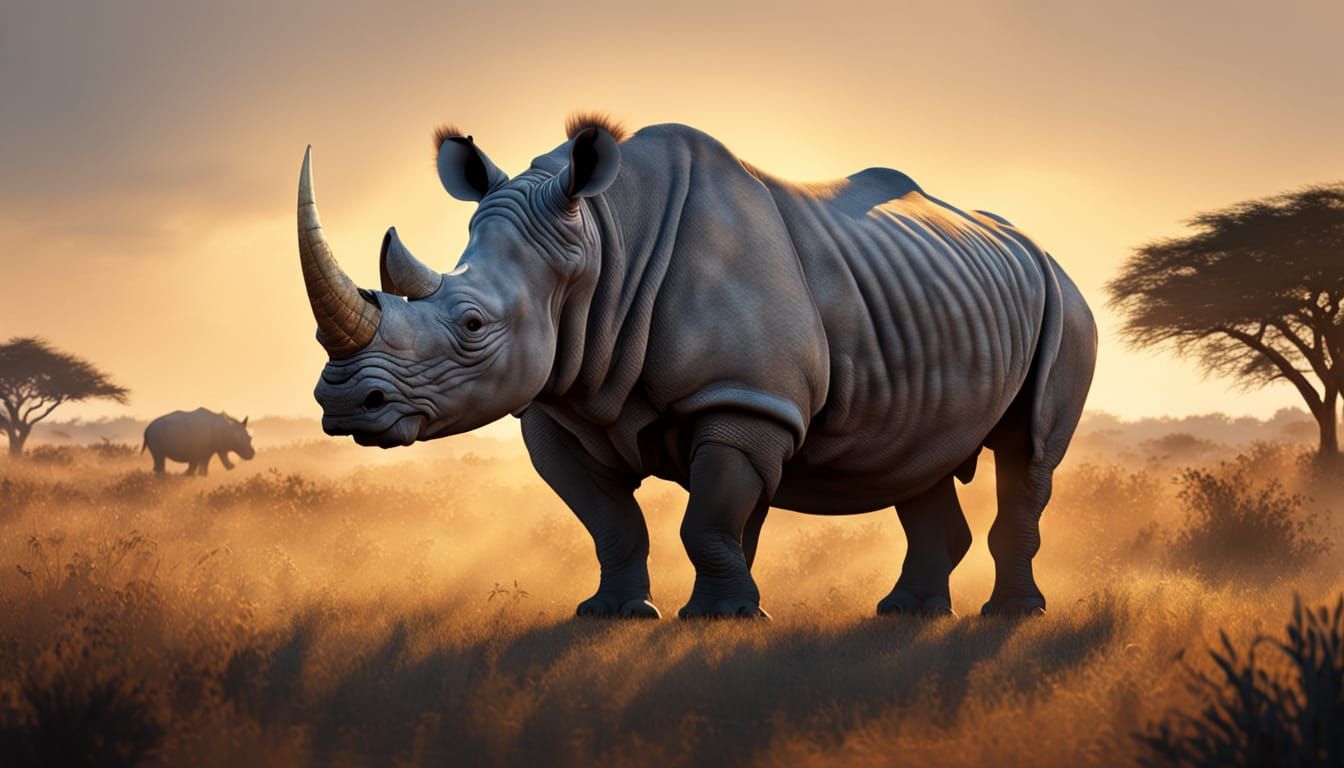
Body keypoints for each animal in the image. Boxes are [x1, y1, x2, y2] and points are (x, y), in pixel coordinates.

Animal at [295, 115, 1097, 619]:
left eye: (471, 324)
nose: (344, 404)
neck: (599, 244)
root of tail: (1036, 247)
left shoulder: (743, 400)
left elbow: (708, 518)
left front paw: (724, 617)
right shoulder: (557, 406)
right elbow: (614, 522)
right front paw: (615, 614)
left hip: (1065, 303)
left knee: (1029, 454)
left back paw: (1011, 615)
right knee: (917, 458)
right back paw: (907, 613)